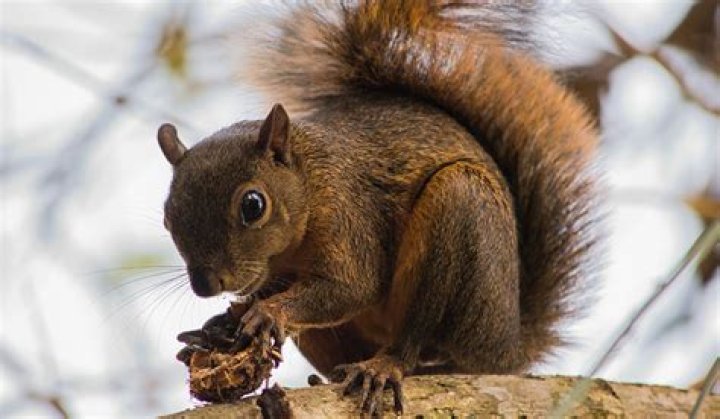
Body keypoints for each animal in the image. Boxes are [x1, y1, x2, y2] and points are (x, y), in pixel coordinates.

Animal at [157, 1, 598, 415]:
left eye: (253, 205)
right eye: (166, 216)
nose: (206, 285)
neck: (311, 185)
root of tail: (507, 350)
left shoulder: (351, 216)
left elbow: (352, 287)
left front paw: (268, 312)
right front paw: (220, 326)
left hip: (460, 216)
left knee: (417, 341)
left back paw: (385, 367)